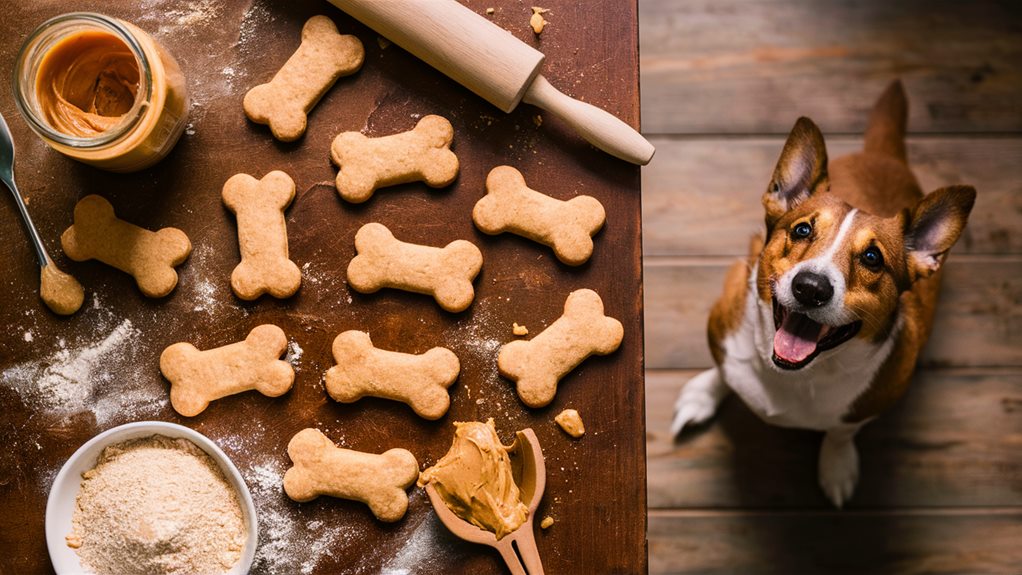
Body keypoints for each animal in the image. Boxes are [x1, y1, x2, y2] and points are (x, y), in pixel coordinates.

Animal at [670, 82, 972, 508]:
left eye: (873, 258)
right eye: (801, 230)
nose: (811, 288)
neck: (794, 376)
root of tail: (882, 154)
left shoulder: (868, 406)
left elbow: (840, 432)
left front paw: (836, 464)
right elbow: (723, 369)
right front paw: (704, 393)